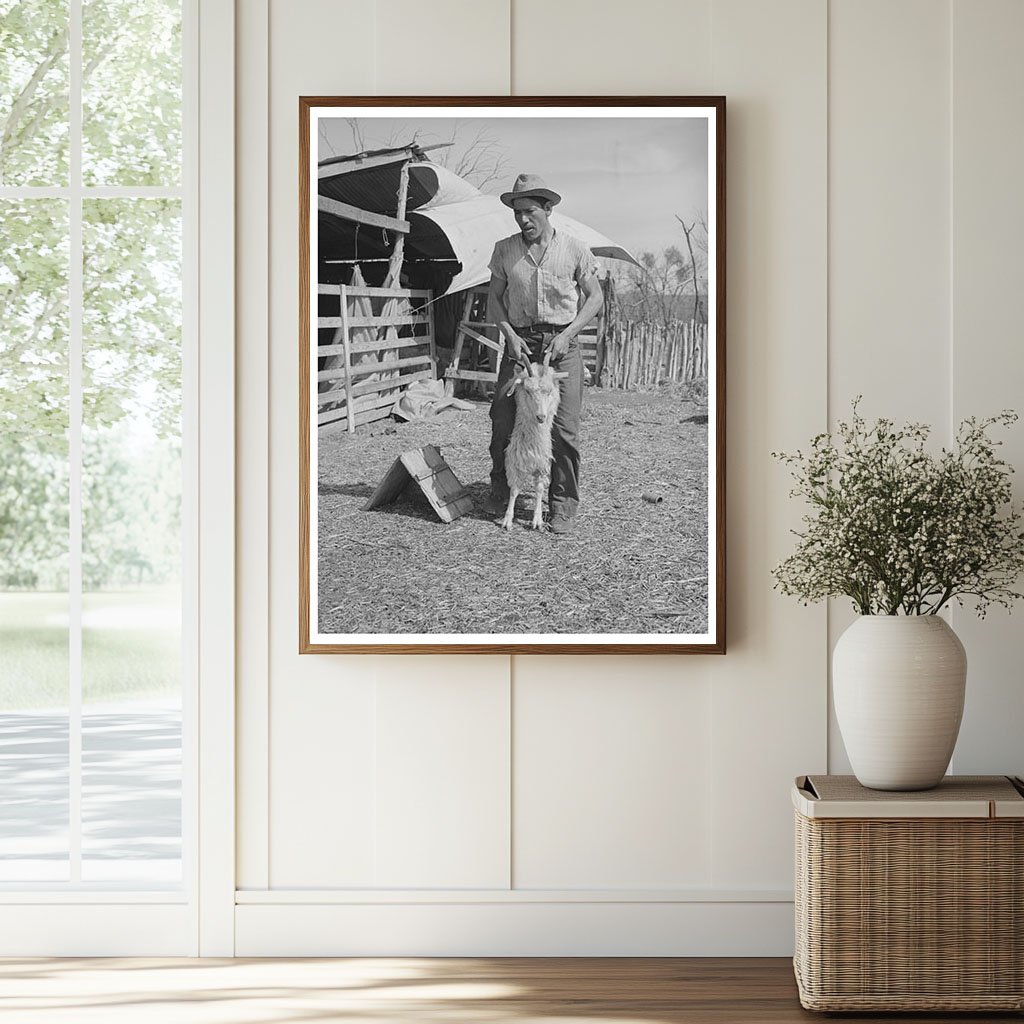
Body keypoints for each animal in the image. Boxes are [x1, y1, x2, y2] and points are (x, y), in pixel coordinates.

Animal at [497, 360, 561, 532]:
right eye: (527, 391)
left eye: (549, 392)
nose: (541, 417)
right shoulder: (514, 462)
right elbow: (514, 490)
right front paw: (507, 520)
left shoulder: (542, 465)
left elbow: (539, 490)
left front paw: (537, 520)